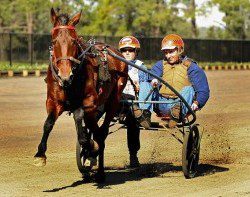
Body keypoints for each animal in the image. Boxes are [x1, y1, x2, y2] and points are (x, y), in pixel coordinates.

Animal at [34, 8, 128, 182]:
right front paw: (40, 154)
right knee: (96, 130)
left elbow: (80, 118)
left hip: (113, 101)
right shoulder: (53, 102)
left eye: (73, 41)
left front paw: (89, 146)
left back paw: (100, 170)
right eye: (54, 41)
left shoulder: (88, 103)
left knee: (101, 133)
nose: (65, 75)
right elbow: (48, 123)